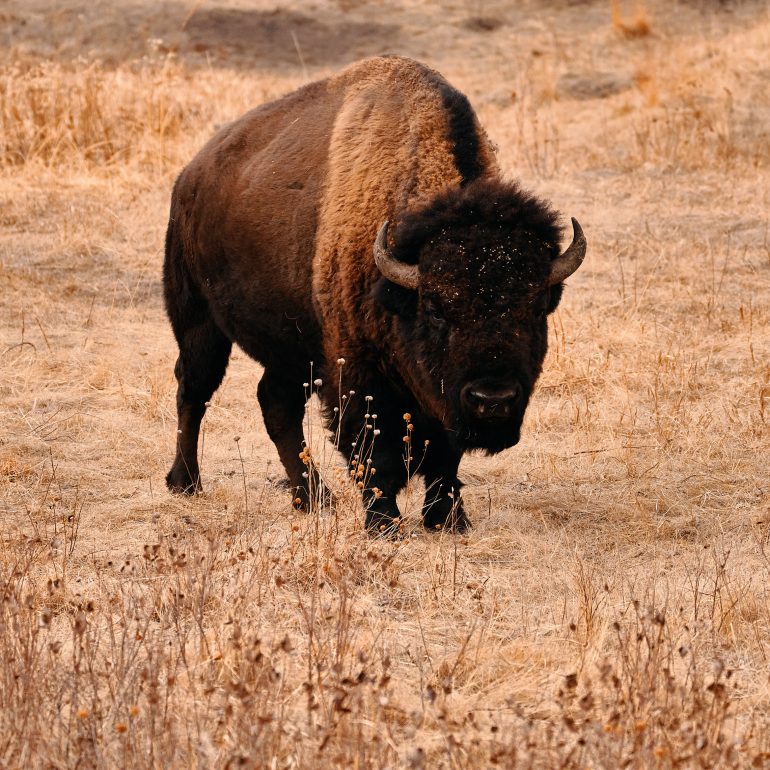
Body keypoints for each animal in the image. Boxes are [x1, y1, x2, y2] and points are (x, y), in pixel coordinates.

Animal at [163, 56, 586, 534]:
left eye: (535, 307)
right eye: (436, 309)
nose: (492, 400)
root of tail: (190, 176)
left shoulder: (435, 396)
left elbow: (445, 456)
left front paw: (449, 519)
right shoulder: (355, 370)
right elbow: (375, 450)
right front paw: (384, 523)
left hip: (292, 349)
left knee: (275, 404)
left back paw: (314, 498)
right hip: (199, 323)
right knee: (193, 390)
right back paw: (186, 483)